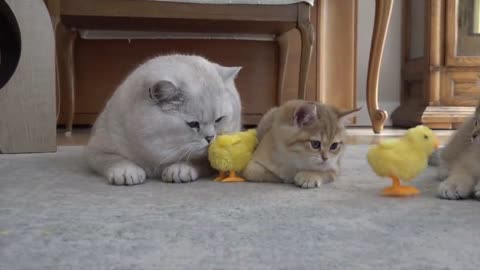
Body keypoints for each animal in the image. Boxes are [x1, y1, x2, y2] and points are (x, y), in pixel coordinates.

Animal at [86, 54, 242, 186]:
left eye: (219, 119)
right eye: (192, 124)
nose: (210, 138)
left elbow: (194, 160)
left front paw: (179, 169)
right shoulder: (97, 150)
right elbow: (114, 159)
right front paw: (127, 171)